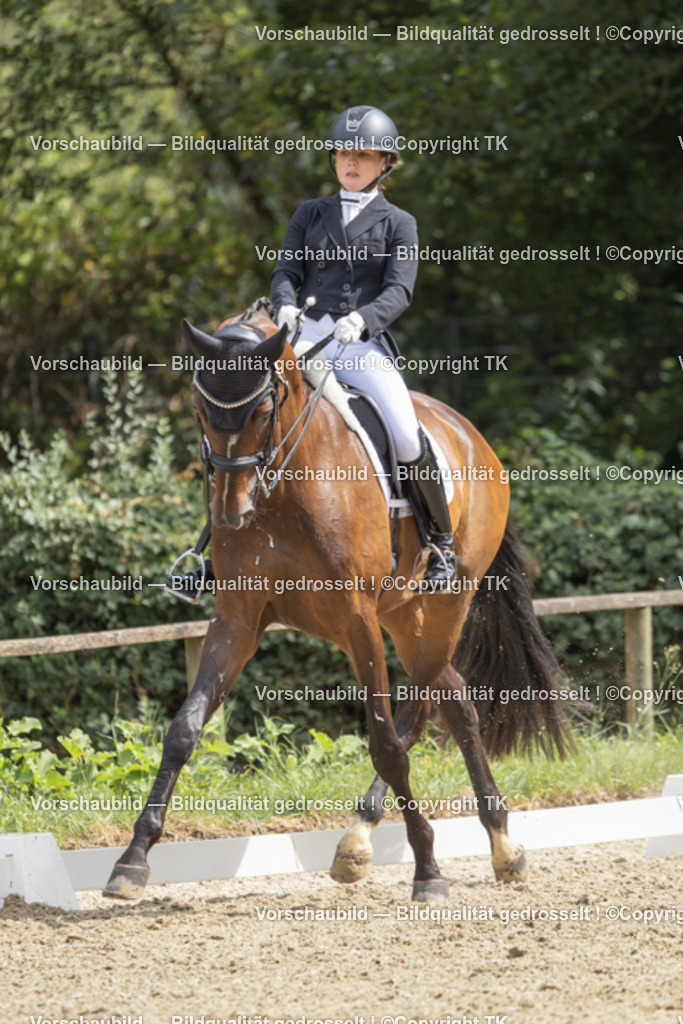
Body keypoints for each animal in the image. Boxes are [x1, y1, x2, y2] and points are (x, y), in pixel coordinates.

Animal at [103, 304, 571, 904]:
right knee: (455, 699)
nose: (231, 512)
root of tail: (471, 434)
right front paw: (132, 860)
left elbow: (386, 744)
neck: (283, 489)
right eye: (199, 408)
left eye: (262, 410)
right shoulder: (237, 619)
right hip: (405, 615)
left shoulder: (357, 621)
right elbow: (183, 731)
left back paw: (369, 840)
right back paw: (498, 844)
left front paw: (428, 871)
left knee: (415, 711)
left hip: (447, 604)